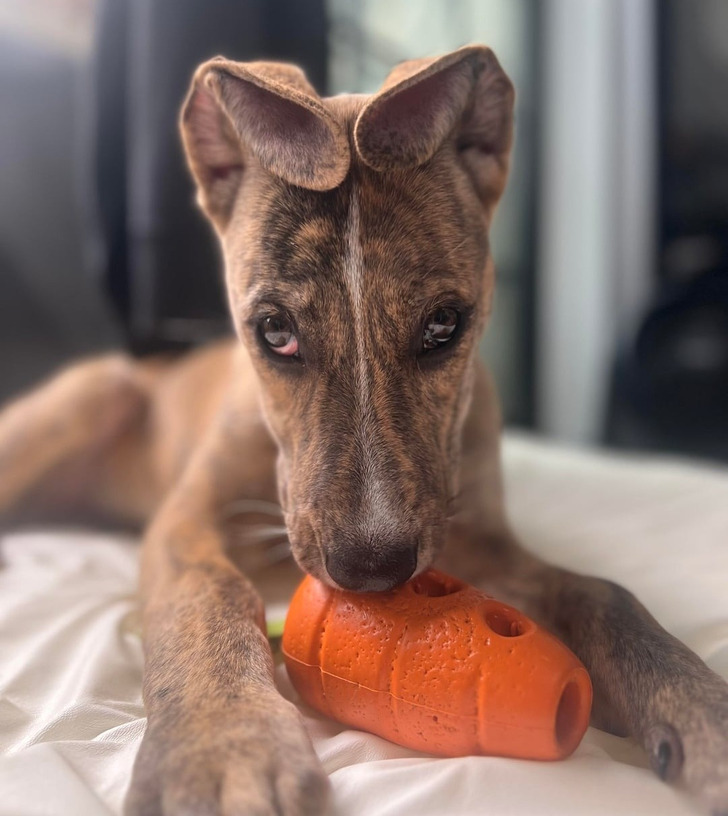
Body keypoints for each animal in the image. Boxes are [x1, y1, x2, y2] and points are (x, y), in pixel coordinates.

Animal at [1, 45, 727, 816]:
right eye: (274, 331)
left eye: (445, 325)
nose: (373, 570)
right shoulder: (186, 524)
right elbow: (209, 597)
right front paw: (225, 745)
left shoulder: (476, 539)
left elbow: (599, 592)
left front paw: (698, 706)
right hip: (94, 395)